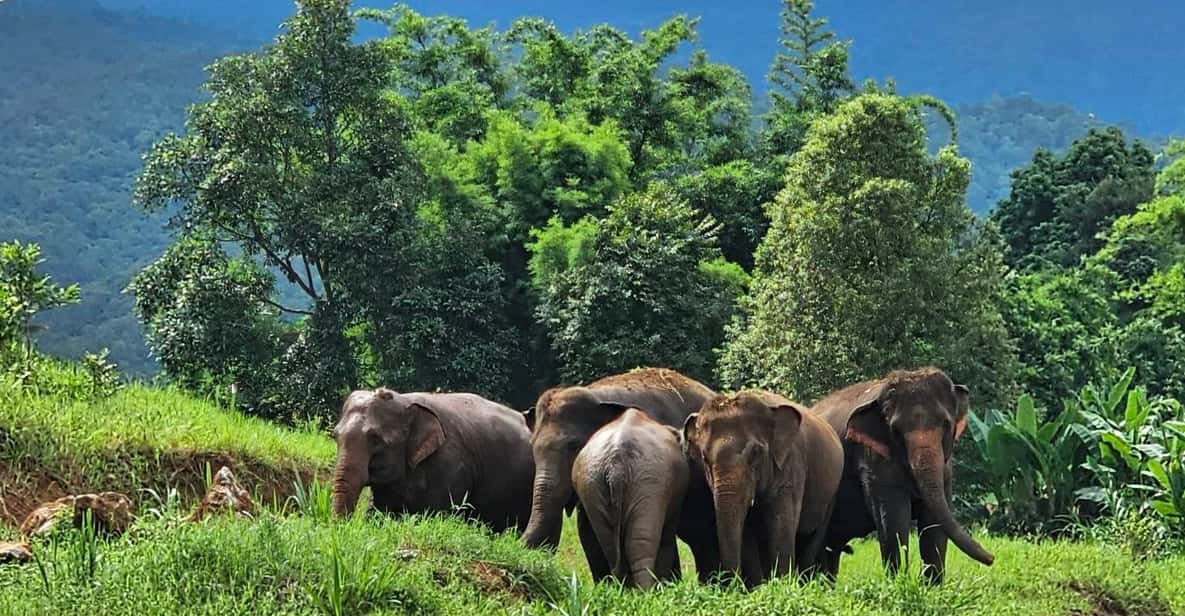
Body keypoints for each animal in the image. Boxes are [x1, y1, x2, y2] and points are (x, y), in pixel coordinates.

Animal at [331, 388, 534, 533]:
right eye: (336, 435)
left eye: (376, 439)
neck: (404, 400)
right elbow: (379, 509)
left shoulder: (451, 466)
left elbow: (437, 513)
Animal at [571, 408, 689, 590]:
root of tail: (616, 466)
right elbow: (667, 537)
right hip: (648, 480)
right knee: (639, 541)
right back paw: (646, 591)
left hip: (593, 483)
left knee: (610, 543)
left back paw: (624, 588)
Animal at [682, 390, 844, 584]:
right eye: (704, 457)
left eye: (755, 453)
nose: (732, 584)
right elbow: (747, 532)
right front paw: (758, 587)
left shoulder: (791, 465)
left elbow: (781, 525)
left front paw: (782, 584)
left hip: (832, 493)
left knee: (813, 537)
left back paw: (804, 581)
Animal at [812, 367, 994, 584]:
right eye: (896, 431)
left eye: (945, 424)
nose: (992, 558)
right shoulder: (872, 460)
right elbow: (894, 520)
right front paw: (898, 582)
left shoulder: (946, 467)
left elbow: (933, 523)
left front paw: (932, 586)